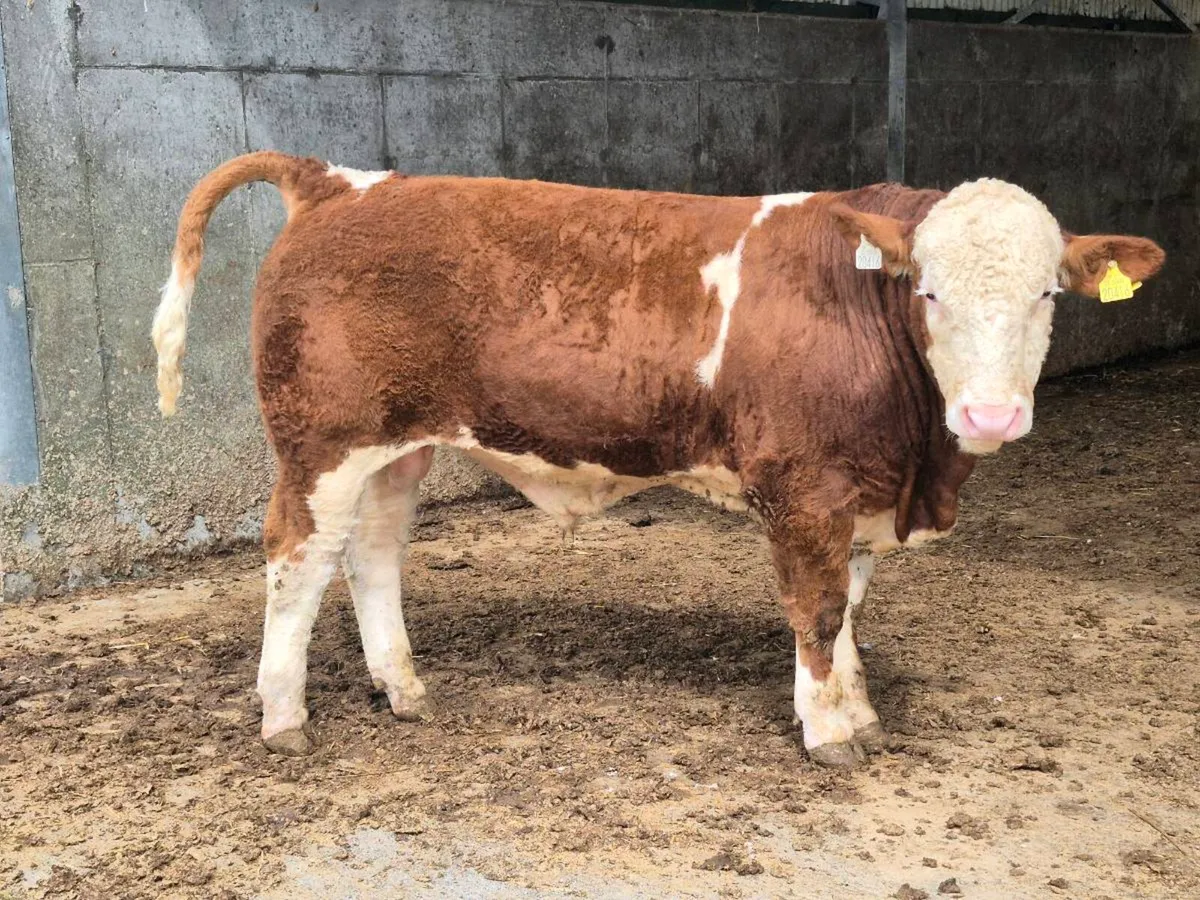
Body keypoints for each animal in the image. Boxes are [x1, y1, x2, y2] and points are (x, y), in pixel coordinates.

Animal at [152, 152, 1164, 767]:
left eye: (1047, 294)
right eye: (929, 291)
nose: (991, 412)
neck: (917, 469)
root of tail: (342, 181)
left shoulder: (858, 489)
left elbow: (848, 610)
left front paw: (860, 707)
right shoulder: (803, 487)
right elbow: (817, 609)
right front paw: (828, 730)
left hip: (403, 445)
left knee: (372, 554)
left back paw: (402, 686)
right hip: (321, 441)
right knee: (298, 557)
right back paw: (283, 714)